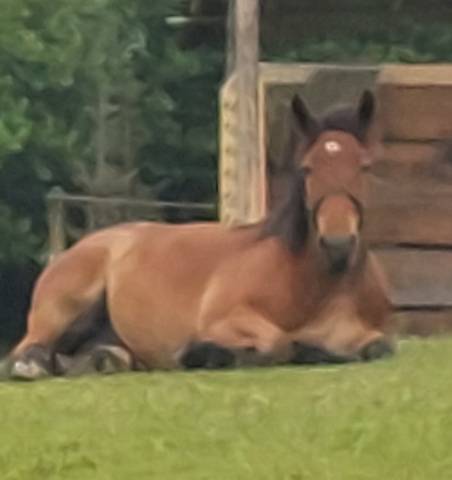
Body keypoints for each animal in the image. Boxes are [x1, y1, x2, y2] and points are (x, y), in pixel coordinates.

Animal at [8, 90, 394, 378]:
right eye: (308, 168)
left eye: (364, 166)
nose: (338, 243)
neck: (318, 285)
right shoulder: (225, 318)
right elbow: (277, 343)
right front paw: (204, 352)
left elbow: (380, 346)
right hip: (64, 309)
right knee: (23, 351)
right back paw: (32, 366)